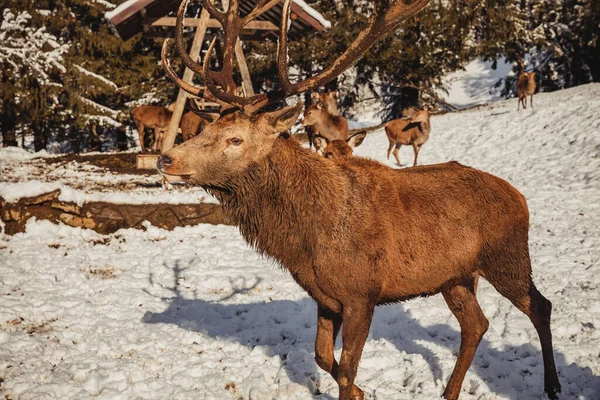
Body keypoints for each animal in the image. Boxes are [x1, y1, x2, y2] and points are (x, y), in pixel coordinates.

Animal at [157, 0, 560, 400]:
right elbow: (322, 356)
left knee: (540, 305)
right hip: (455, 276)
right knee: (476, 323)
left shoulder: (361, 293)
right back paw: (449, 392)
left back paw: (552, 385)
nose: (166, 159)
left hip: (506, 255)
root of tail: (520, 197)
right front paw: (363, 392)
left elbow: (347, 370)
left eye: (235, 139)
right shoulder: (325, 296)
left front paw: (357, 390)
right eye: (207, 128)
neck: (304, 242)